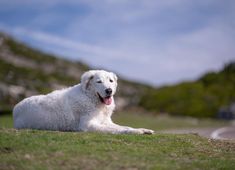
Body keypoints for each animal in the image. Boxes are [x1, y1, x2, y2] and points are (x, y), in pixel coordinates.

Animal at [13, 69, 155, 135]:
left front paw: (143, 129)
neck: (92, 99)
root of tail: (15, 107)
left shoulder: (106, 121)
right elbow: (118, 130)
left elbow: (124, 126)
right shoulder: (88, 125)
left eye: (111, 81)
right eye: (99, 82)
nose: (109, 90)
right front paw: (135, 132)